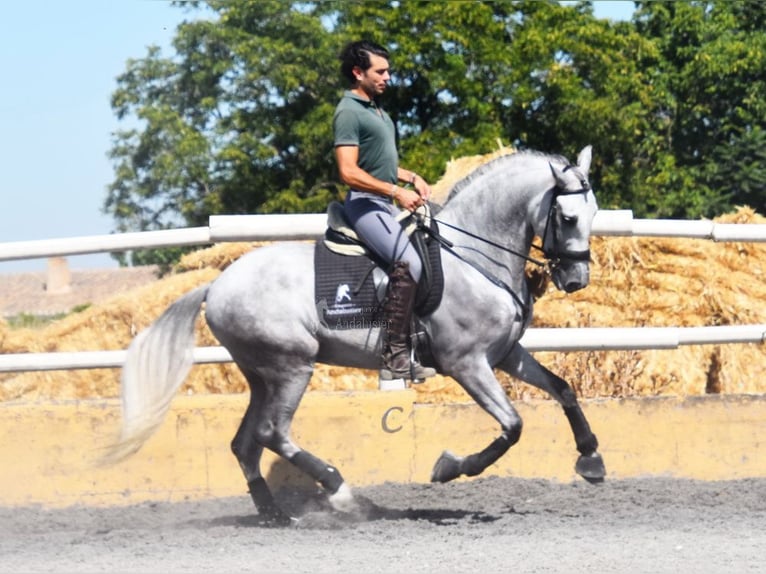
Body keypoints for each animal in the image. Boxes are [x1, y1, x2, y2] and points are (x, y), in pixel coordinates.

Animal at [106, 146, 608, 524]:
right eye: (566, 217)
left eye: (594, 212)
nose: (576, 279)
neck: (472, 256)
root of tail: (216, 285)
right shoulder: (467, 363)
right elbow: (513, 426)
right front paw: (449, 468)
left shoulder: (505, 354)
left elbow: (562, 389)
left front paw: (591, 458)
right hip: (292, 366)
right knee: (273, 433)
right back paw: (342, 493)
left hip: (262, 375)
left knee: (246, 443)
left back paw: (274, 514)